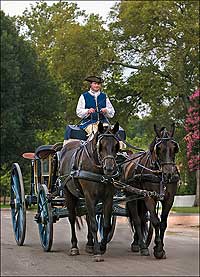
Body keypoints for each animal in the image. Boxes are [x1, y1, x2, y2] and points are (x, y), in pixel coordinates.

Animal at [58, 121, 119, 260]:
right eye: (101, 146)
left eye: (116, 145)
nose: (109, 168)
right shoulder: (89, 196)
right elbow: (94, 225)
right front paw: (97, 252)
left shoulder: (108, 197)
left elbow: (105, 224)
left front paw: (102, 247)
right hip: (68, 193)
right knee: (72, 218)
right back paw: (74, 247)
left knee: (87, 217)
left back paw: (89, 244)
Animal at [122, 122, 180, 256]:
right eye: (158, 149)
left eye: (174, 148)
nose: (168, 174)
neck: (158, 174)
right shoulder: (149, 197)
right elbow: (155, 221)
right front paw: (157, 248)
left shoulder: (169, 199)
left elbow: (162, 223)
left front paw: (160, 247)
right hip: (132, 196)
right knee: (137, 219)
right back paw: (141, 246)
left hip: (141, 199)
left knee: (142, 218)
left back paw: (138, 242)